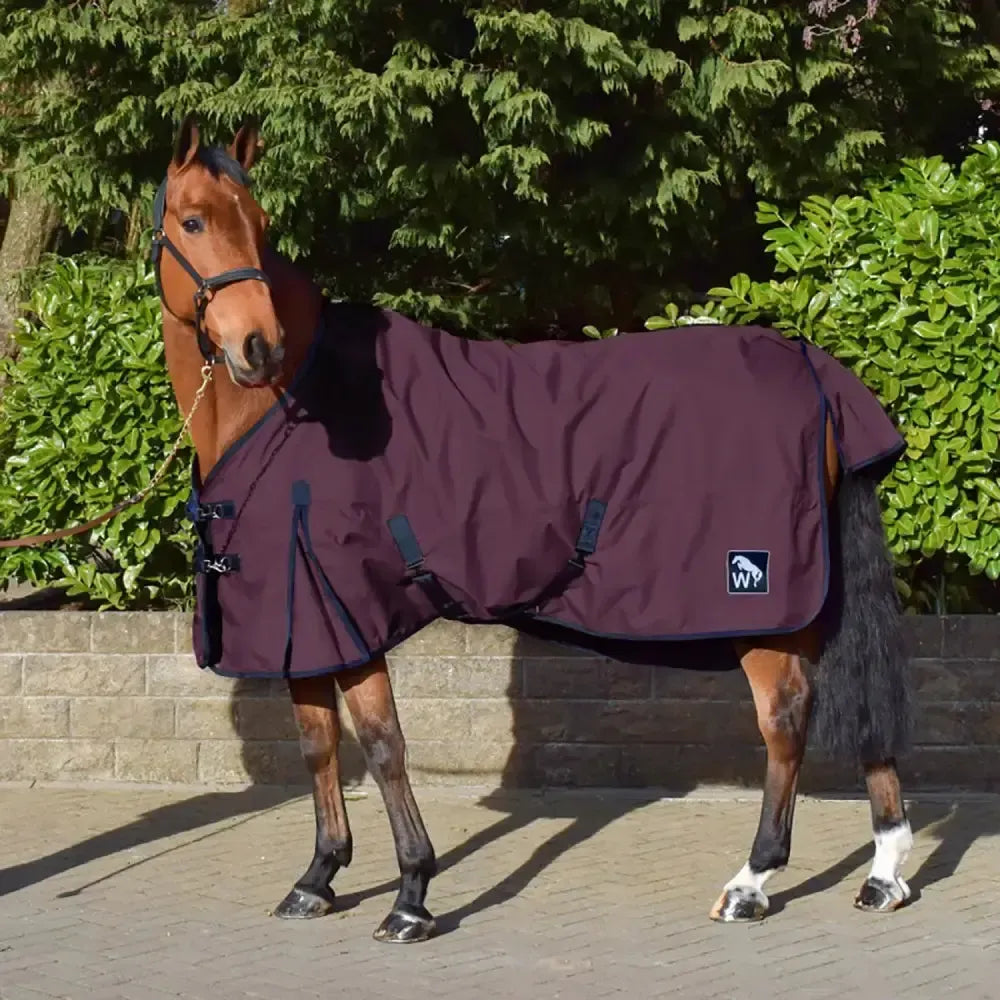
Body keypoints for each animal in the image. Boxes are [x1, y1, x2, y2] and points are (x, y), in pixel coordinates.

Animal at [152, 115, 914, 943]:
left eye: (260, 227)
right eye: (193, 222)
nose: (258, 347)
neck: (299, 402)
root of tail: (812, 365)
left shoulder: (346, 609)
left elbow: (383, 747)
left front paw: (411, 895)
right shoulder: (309, 626)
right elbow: (320, 747)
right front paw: (318, 879)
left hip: (766, 602)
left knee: (786, 721)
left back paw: (752, 882)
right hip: (811, 602)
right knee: (861, 707)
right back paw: (883, 874)